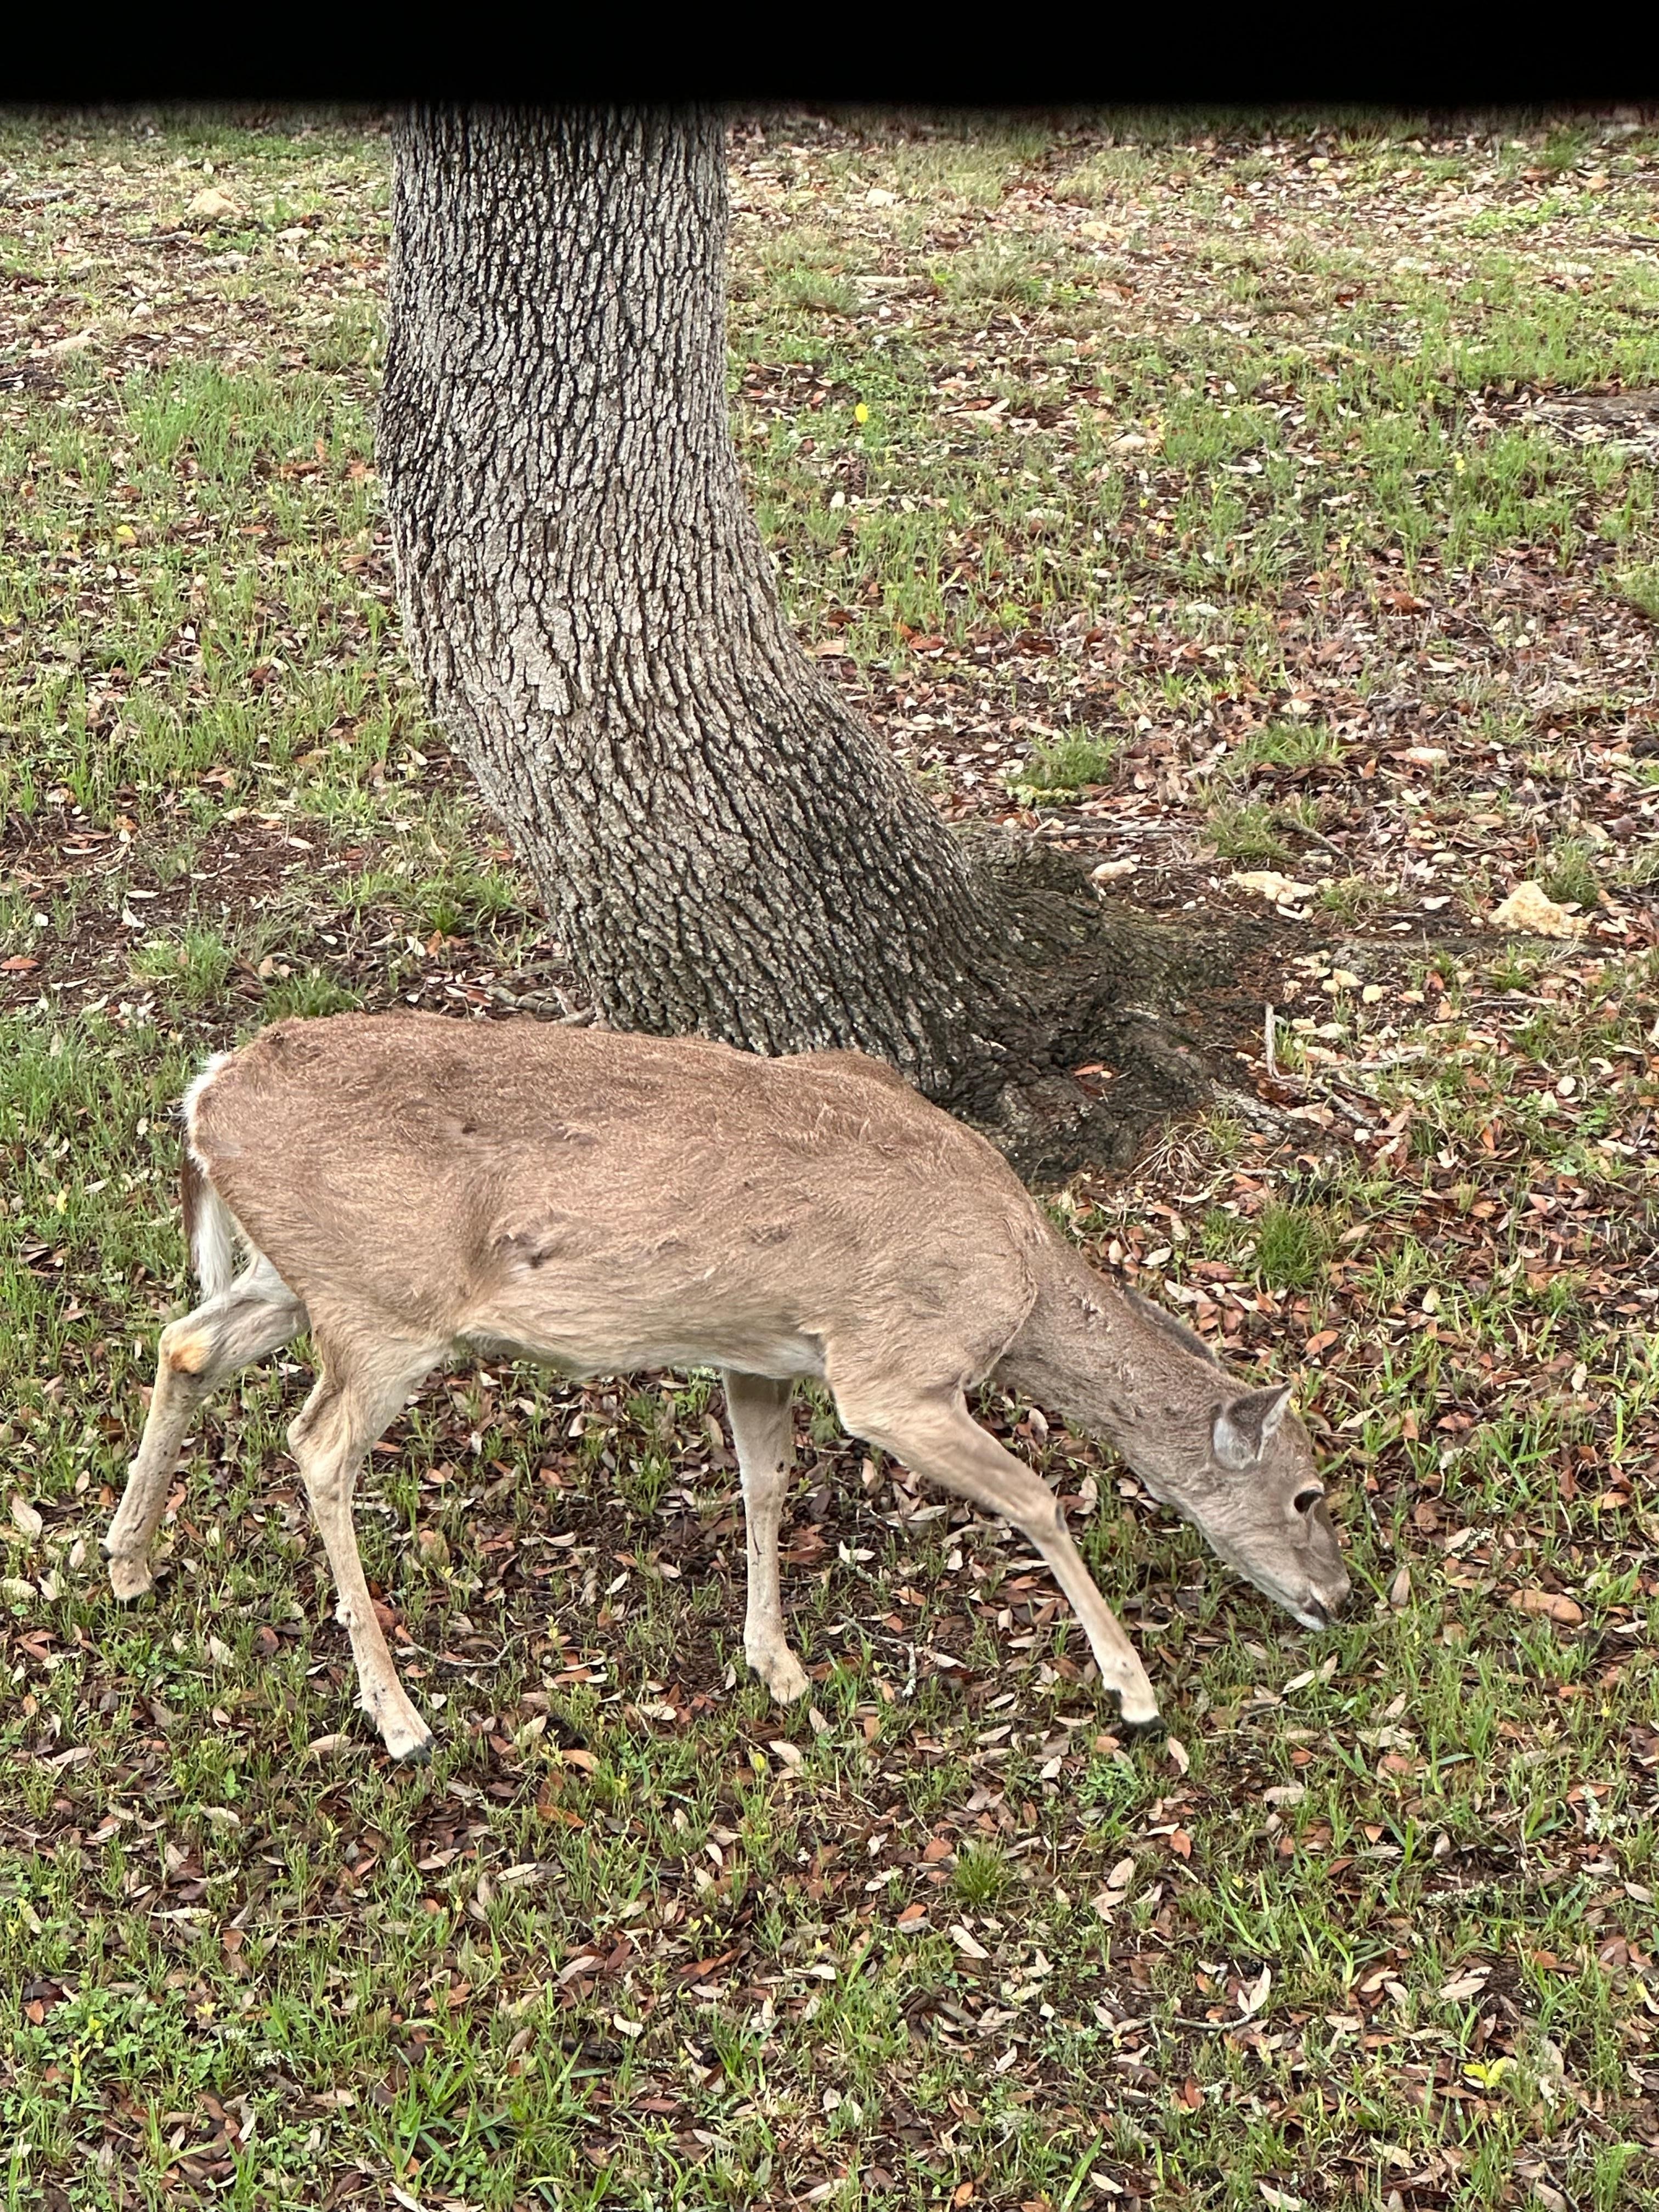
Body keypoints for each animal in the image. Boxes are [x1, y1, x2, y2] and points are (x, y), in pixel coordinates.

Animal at [106, 1015, 1350, 1761]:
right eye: (1306, 1493)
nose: (1339, 1598)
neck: (1022, 1279)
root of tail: (205, 1096)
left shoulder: (763, 1353)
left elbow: (763, 1483)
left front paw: (776, 1664)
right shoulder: (891, 1371)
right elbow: (1036, 1498)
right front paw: (1130, 1687)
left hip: (301, 1276)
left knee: (187, 1342)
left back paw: (126, 1560)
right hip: (386, 1302)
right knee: (315, 1445)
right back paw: (399, 1714)